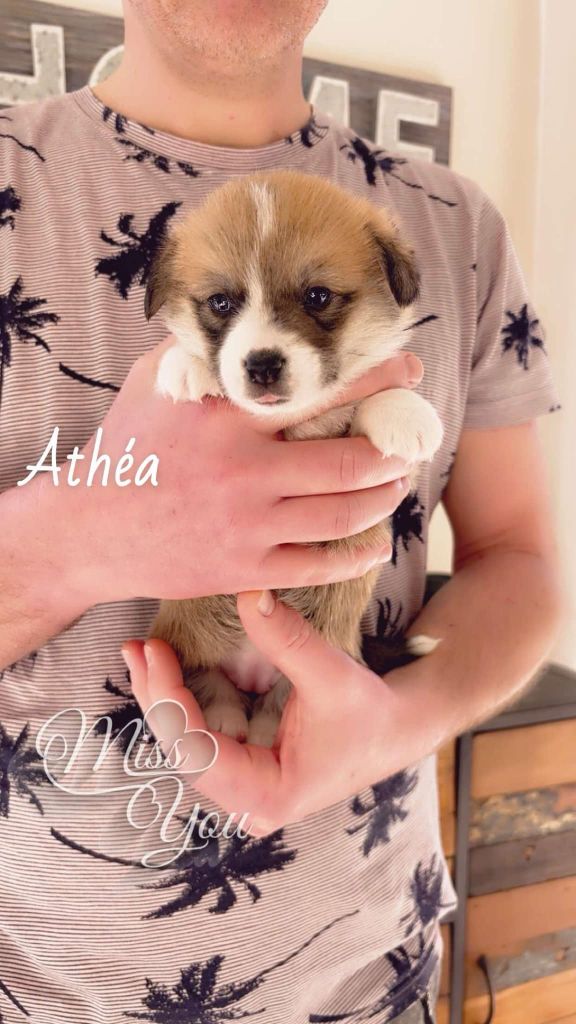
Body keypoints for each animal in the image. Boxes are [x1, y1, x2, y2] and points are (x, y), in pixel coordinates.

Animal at [144, 169, 443, 747]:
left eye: (318, 296)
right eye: (220, 303)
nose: (261, 365)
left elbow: (369, 397)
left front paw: (404, 411)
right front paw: (186, 365)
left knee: (275, 705)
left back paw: (257, 729)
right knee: (213, 684)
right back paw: (224, 719)